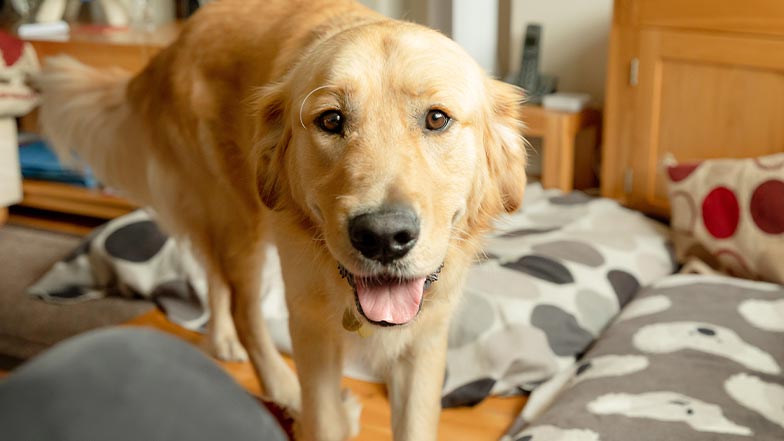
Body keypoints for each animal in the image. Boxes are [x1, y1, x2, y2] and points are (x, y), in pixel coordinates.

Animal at [36, 0, 528, 436]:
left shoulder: (425, 340)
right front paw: (316, 413)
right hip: (240, 218)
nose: (383, 237)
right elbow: (325, 418)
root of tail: (175, 42)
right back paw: (282, 389)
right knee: (244, 307)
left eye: (437, 119)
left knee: (213, 276)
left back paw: (222, 339)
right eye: (331, 120)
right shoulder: (310, 327)